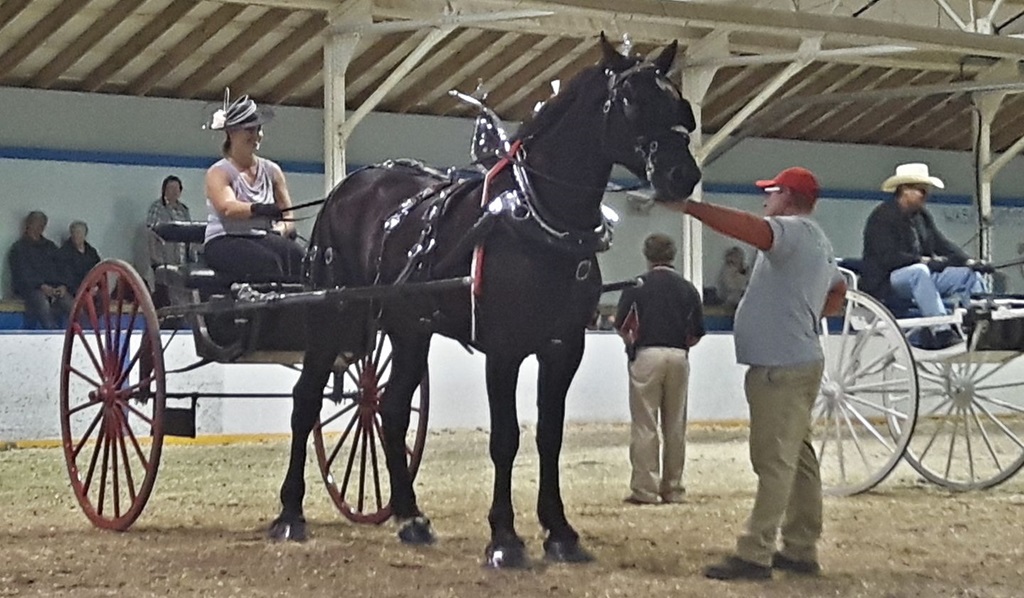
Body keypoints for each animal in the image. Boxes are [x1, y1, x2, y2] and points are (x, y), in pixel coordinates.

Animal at [269, 33, 702, 567]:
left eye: (679, 104)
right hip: (334, 313)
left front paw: (560, 533)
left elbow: (550, 435)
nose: (683, 174)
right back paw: (290, 514)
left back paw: (410, 516)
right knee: (306, 400)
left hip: (408, 328)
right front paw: (505, 539)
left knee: (390, 407)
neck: (539, 222)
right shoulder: (505, 349)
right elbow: (505, 438)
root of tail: (348, 186)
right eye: (632, 101)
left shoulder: (565, 348)